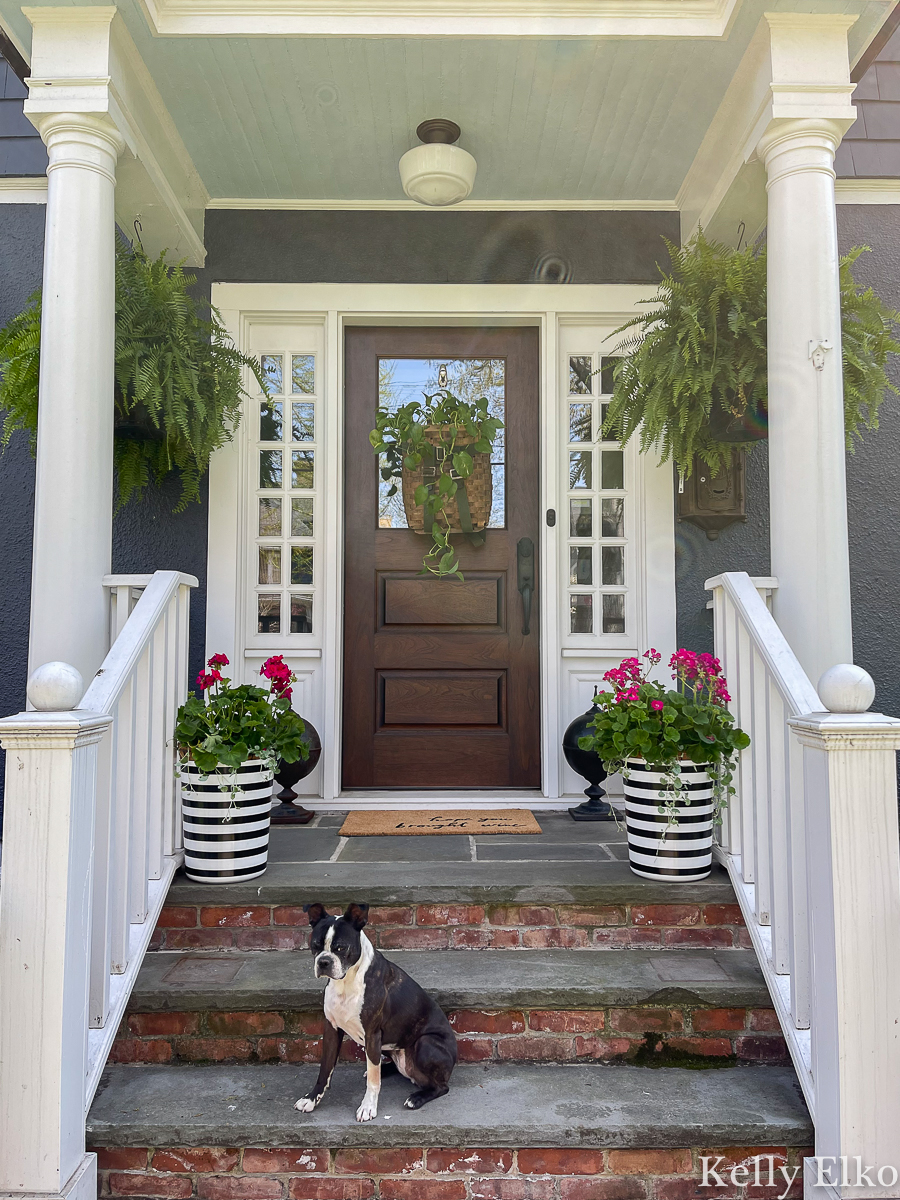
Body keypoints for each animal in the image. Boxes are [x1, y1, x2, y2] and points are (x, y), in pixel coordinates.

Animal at [294, 902, 458, 1118]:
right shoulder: (332, 1030)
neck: (346, 982)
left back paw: (417, 1098)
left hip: (425, 1043)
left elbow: (373, 1081)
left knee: (441, 1087)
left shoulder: (372, 1035)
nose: (324, 962)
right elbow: (325, 1069)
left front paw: (368, 1107)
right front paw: (311, 1099)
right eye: (315, 945)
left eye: (341, 947)